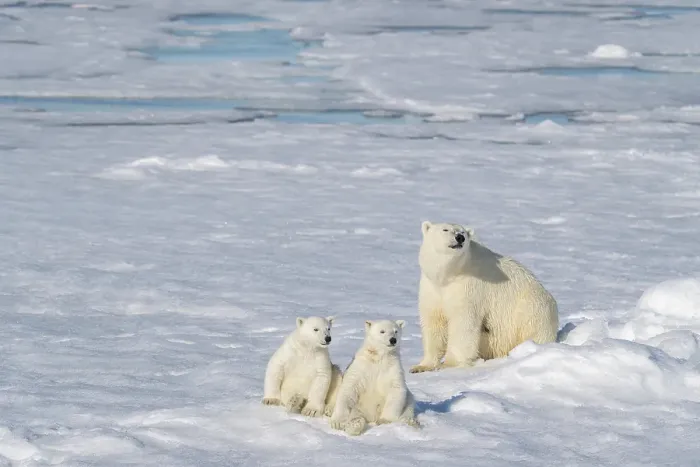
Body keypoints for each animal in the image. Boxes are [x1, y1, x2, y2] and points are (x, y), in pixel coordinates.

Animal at [410, 221, 559, 373]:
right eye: (445, 229)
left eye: (462, 232)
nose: (459, 238)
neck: (449, 275)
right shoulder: (431, 288)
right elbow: (434, 323)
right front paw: (421, 366)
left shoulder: (469, 288)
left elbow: (463, 323)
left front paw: (449, 364)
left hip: (531, 310)